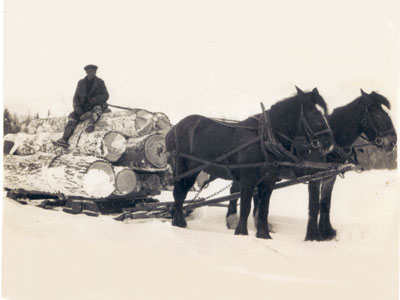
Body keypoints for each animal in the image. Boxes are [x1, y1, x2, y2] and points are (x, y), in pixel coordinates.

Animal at [165, 87, 334, 239]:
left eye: (326, 112)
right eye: (312, 111)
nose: (328, 142)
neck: (265, 139)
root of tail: (173, 128)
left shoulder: (268, 181)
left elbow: (264, 209)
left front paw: (264, 235)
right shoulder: (248, 178)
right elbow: (246, 206)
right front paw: (241, 233)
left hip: (192, 171)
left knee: (181, 193)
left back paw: (179, 222)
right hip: (181, 167)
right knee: (179, 193)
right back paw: (178, 223)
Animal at [225, 88, 396, 240]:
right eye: (379, 114)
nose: (393, 142)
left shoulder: (329, 177)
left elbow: (325, 204)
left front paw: (327, 232)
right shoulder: (315, 176)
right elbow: (314, 205)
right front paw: (313, 236)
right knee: (235, 189)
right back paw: (232, 219)